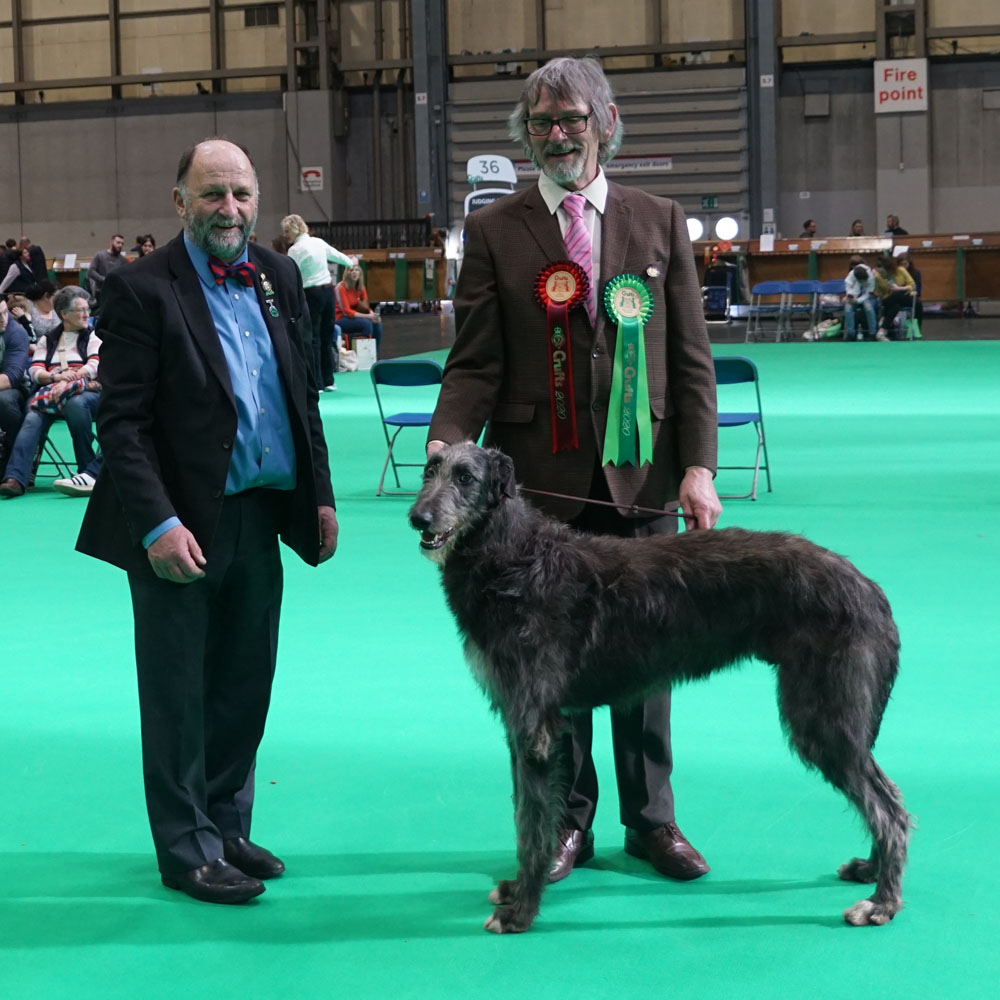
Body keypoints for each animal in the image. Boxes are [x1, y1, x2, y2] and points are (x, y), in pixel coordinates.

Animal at [410, 442, 912, 932]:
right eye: (428, 470)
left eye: (466, 478)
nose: (419, 518)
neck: (514, 556)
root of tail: (868, 588)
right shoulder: (522, 724)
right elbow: (523, 816)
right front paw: (516, 890)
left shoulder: (534, 727)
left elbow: (532, 825)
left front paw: (521, 912)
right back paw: (871, 871)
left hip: (821, 714)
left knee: (889, 808)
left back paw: (882, 902)